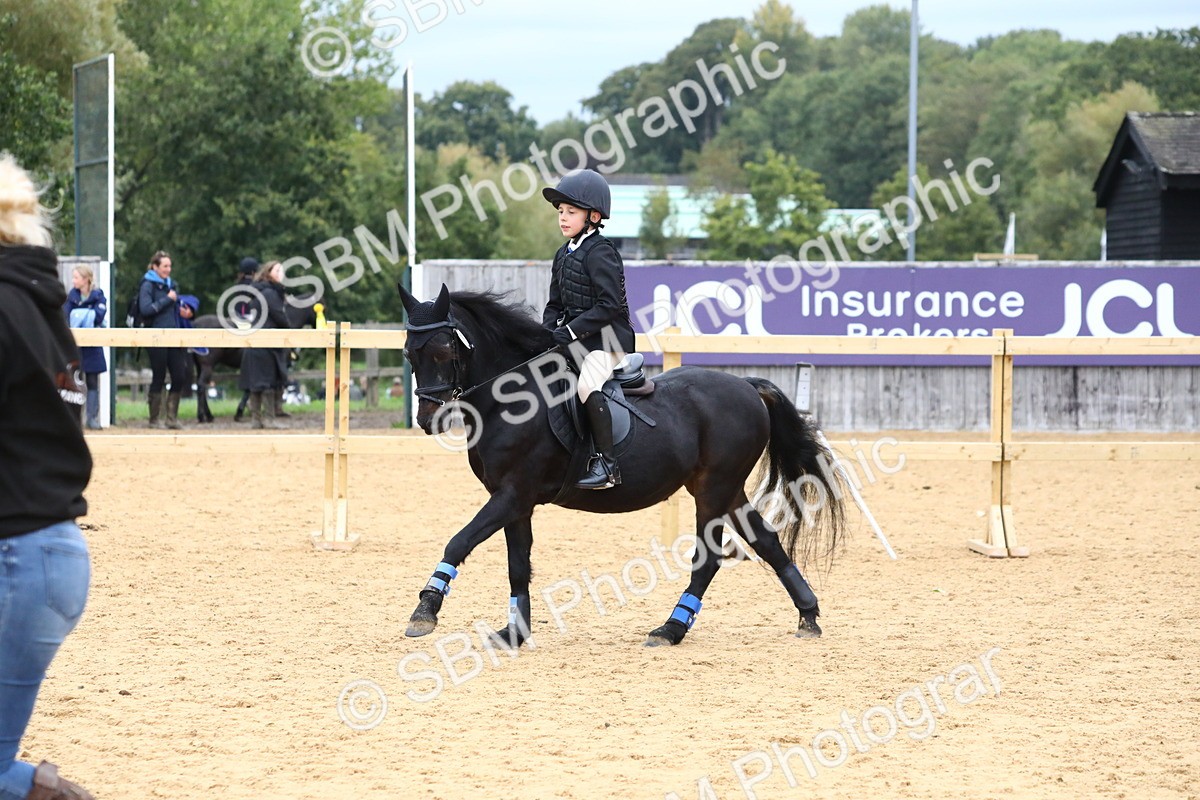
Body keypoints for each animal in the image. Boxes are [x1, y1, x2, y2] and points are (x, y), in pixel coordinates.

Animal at [398, 284, 847, 649]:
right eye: (408, 352)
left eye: (444, 350)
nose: (427, 419)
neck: (510, 400)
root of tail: (748, 386)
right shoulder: (514, 501)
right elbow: (517, 566)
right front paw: (514, 633)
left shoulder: (513, 493)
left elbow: (459, 542)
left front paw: (425, 612)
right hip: (726, 488)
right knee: (766, 540)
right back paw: (808, 615)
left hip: (714, 489)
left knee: (708, 558)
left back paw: (671, 629)